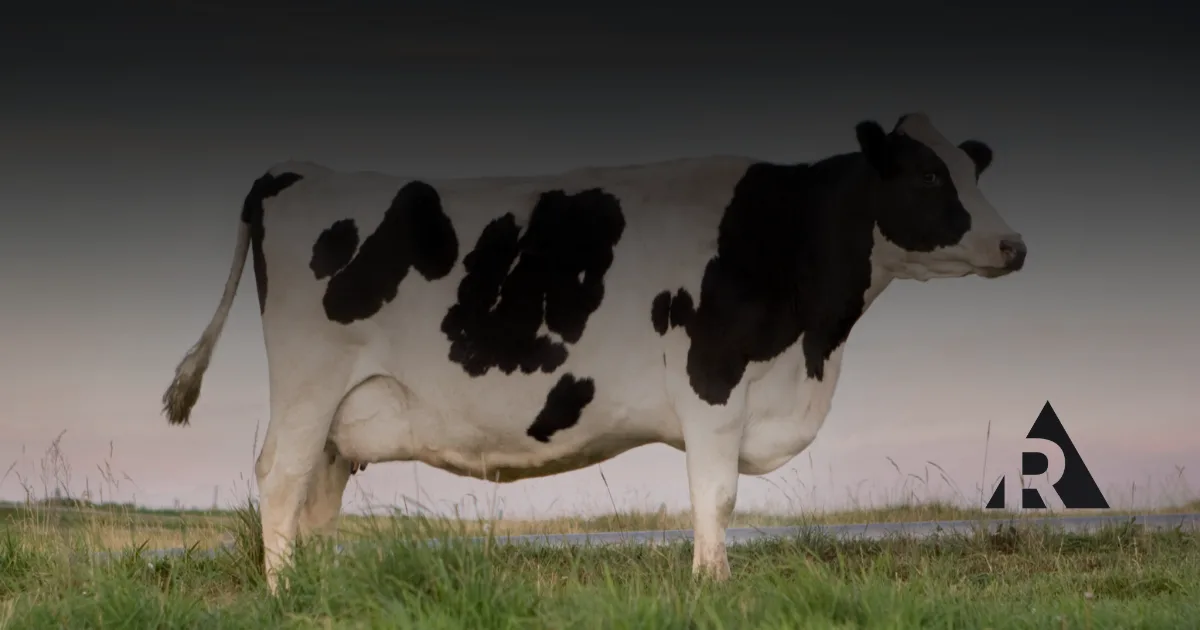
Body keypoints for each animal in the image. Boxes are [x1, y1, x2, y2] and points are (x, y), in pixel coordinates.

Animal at [162, 112, 1026, 592]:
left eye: (971, 168)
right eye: (927, 175)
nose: (1014, 245)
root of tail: (298, 170)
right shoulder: (712, 383)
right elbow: (715, 497)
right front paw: (712, 589)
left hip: (347, 409)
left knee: (316, 494)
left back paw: (316, 586)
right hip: (309, 382)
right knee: (279, 476)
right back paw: (281, 592)